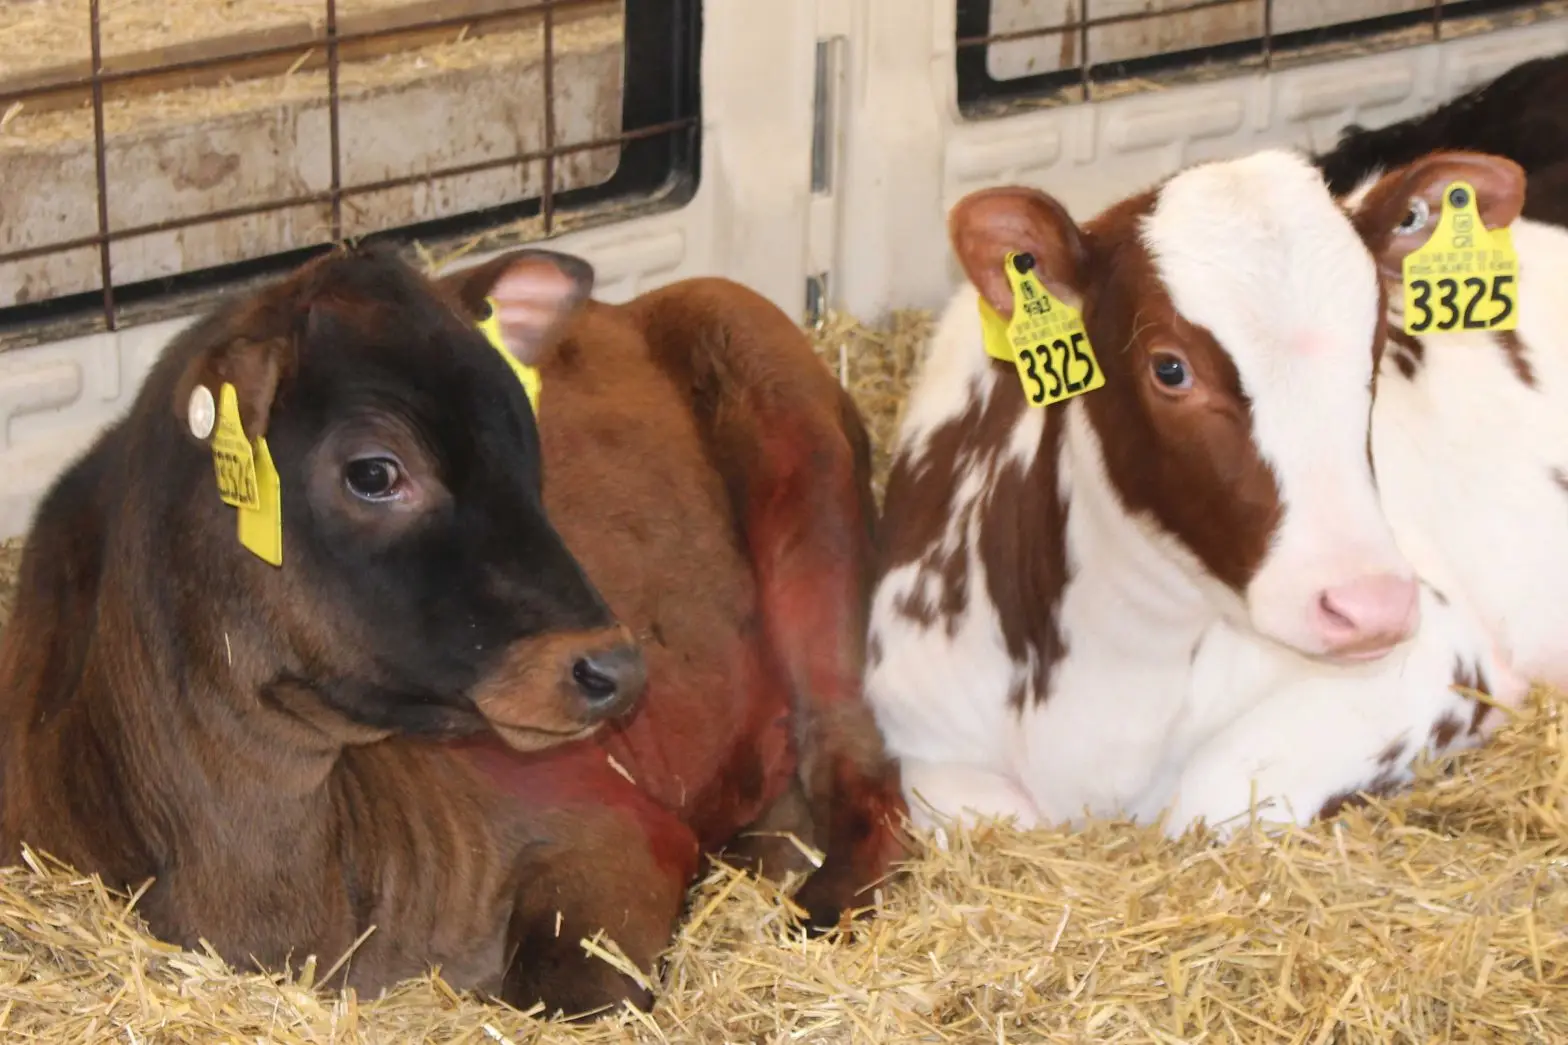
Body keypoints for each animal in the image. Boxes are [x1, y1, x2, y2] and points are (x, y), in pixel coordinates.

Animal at [0, 240, 906, 1020]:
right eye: (374, 471)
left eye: (529, 449)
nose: (615, 667)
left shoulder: (620, 825)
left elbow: (567, 986)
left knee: (861, 765)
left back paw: (823, 903)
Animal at [862, 147, 1530, 843]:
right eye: (1170, 368)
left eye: (1372, 349)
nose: (1369, 605)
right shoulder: (925, 735)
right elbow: (989, 820)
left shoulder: (1445, 661)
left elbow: (1209, 797)